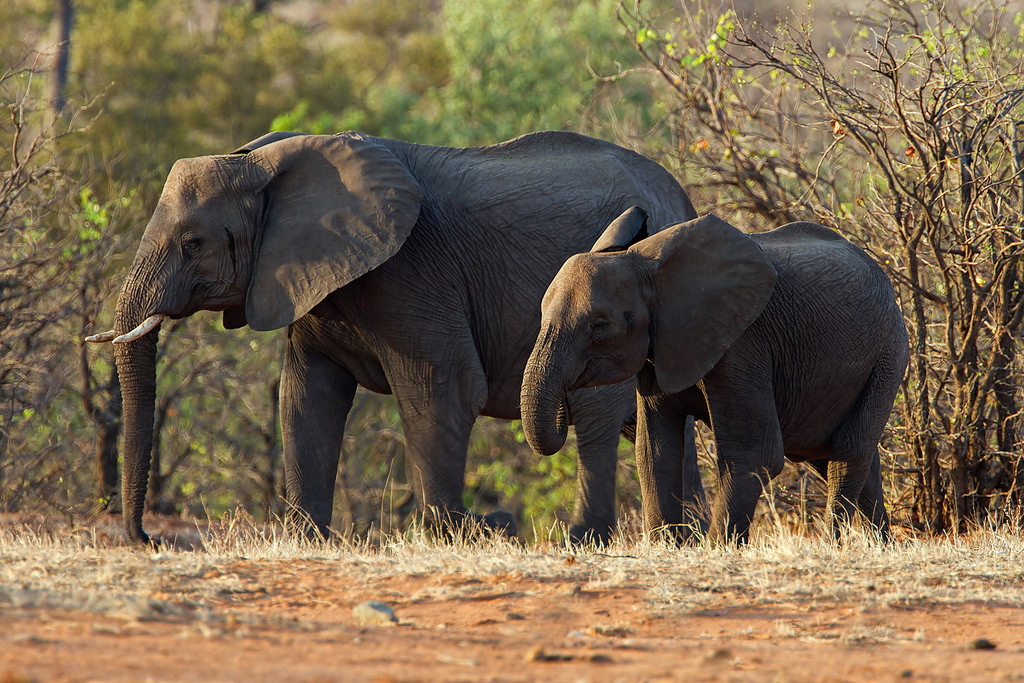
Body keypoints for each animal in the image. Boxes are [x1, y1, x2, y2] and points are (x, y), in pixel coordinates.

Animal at [88, 129, 696, 544]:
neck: (263, 164)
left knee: (596, 419)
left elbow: (443, 391)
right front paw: (307, 540)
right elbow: (307, 397)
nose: (147, 539)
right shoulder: (313, 280)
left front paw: (449, 538)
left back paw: (587, 539)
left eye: (193, 243)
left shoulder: (412, 273)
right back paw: (684, 538)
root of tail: (682, 197)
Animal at [524, 208, 909, 544]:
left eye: (600, 325)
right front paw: (666, 547)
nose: (566, 407)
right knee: (838, 455)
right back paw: (880, 546)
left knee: (847, 453)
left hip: (888, 353)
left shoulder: (741, 342)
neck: (647, 266)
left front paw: (716, 548)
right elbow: (654, 451)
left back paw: (834, 543)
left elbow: (755, 451)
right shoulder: (660, 348)